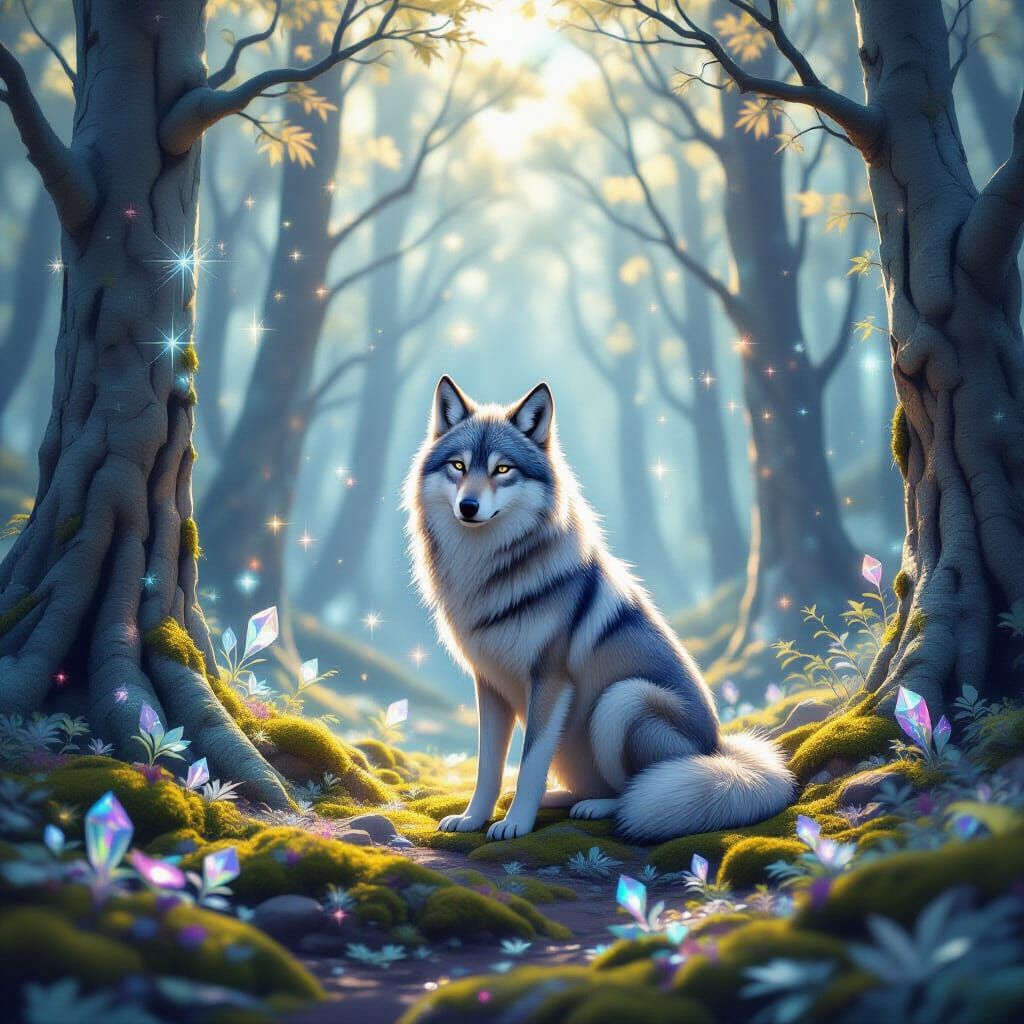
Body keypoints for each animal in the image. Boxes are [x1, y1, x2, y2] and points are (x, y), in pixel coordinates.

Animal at [404, 376, 795, 843]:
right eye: (459, 467)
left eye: (502, 470)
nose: (468, 507)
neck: (490, 572)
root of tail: (720, 753)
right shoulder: (490, 686)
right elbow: (488, 767)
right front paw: (474, 818)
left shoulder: (551, 681)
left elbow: (530, 763)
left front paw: (515, 824)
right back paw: (560, 799)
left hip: (622, 699)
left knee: (633, 789)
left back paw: (597, 807)